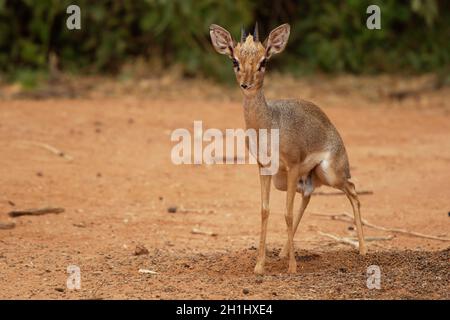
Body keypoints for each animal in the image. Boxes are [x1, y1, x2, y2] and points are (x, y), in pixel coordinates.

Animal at [209, 23, 368, 276]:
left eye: (264, 61)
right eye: (235, 60)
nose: (246, 84)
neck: (269, 125)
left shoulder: (292, 165)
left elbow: (287, 213)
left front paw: (292, 267)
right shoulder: (264, 168)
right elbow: (265, 211)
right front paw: (259, 266)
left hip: (329, 173)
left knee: (352, 190)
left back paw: (363, 249)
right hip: (288, 180)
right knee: (309, 194)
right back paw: (283, 252)